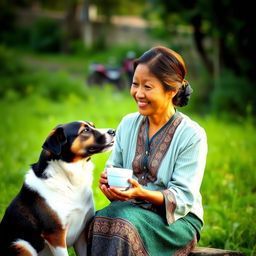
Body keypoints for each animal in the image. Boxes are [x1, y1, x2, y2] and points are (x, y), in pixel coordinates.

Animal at [0, 121, 115, 255]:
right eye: (85, 130)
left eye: (93, 126)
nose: (113, 131)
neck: (68, 180)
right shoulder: (56, 235)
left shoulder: (82, 233)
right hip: (22, 245)